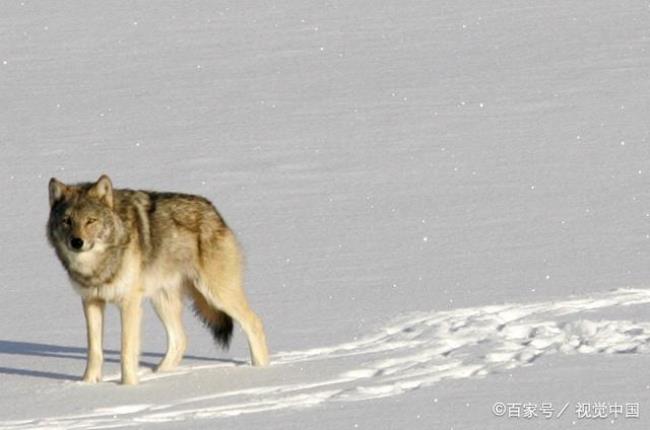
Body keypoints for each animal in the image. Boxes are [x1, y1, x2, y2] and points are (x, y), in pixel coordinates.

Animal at [46, 175, 268, 386]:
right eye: (67, 220)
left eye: (90, 221)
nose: (76, 242)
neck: (97, 266)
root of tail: (214, 211)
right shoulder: (91, 301)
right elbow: (94, 350)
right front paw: (88, 384)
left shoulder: (129, 304)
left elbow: (126, 350)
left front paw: (128, 386)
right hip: (161, 301)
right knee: (180, 340)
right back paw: (159, 374)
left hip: (216, 294)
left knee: (255, 323)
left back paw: (262, 369)